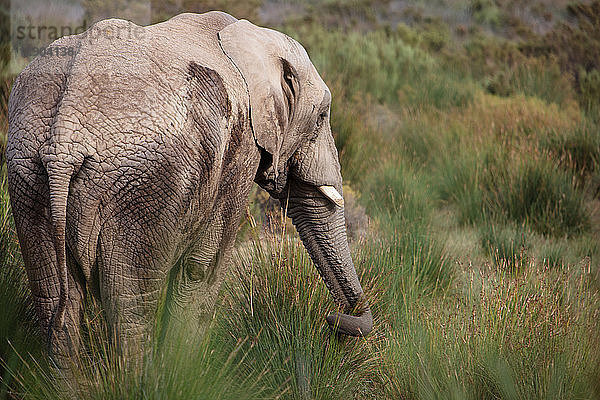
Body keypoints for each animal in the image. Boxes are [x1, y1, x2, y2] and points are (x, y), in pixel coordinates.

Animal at [7, 10, 372, 364]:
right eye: (322, 117)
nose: (333, 322)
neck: (252, 37)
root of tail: (65, 136)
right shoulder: (241, 149)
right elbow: (202, 267)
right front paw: (184, 369)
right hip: (143, 187)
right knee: (131, 305)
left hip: (29, 175)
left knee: (55, 302)